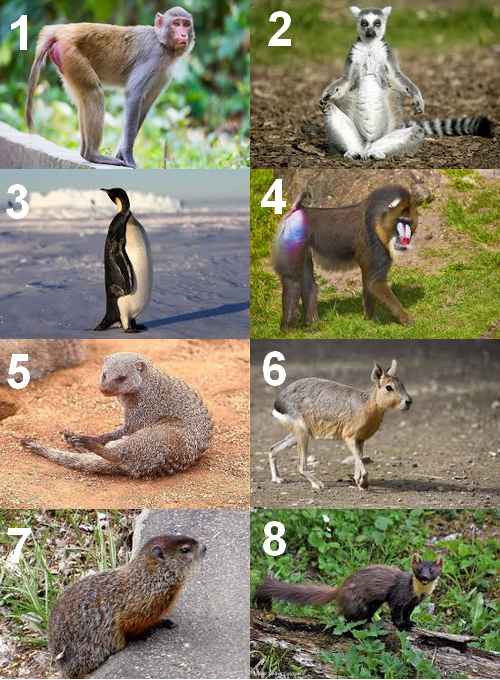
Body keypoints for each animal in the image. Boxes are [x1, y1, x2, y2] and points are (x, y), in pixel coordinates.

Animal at [21, 352, 213, 478]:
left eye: (121, 378)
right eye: (104, 374)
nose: (103, 389)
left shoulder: (145, 410)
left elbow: (129, 428)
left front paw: (91, 439)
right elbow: (117, 432)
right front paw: (80, 436)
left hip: (167, 435)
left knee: (118, 454)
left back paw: (87, 442)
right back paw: (75, 440)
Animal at [26, 7, 195, 168]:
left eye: (186, 24)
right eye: (176, 23)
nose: (183, 35)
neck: (163, 45)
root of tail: (61, 31)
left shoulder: (164, 74)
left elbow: (146, 104)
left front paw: (120, 153)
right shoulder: (153, 57)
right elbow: (134, 96)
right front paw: (127, 155)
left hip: (66, 63)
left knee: (83, 99)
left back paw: (85, 153)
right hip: (71, 55)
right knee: (94, 93)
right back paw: (93, 155)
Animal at [256, 554, 444, 631]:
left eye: (432, 570)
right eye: (419, 569)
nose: (425, 577)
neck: (418, 593)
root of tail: (341, 587)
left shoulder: (413, 603)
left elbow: (408, 614)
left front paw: (410, 623)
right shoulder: (398, 597)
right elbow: (396, 613)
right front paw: (402, 626)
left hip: (373, 603)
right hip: (357, 603)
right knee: (347, 617)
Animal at [273, 184, 418, 330]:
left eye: (409, 223)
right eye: (400, 221)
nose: (406, 239)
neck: (378, 219)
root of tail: (299, 209)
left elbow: (368, 284)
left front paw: (369, 320)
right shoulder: (375, 246)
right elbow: (375, 283)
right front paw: (407, 320)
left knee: (309, 285)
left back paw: (313, 324)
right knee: (292, 281)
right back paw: (288, 328)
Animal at [319, 6, 495, 160]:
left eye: (377, 23)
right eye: (364, 23)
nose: (370, 32)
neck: (370, 46)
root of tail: (367, 144)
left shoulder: (387, 54)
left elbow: (396, 76)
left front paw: (417, 97)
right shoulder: (353, 54)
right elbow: (347, 80)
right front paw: (326, 95)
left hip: (387, 137)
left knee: (416, 131)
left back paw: (377, 153)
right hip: (357, 138)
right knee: (329, 109)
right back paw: (352, 151)